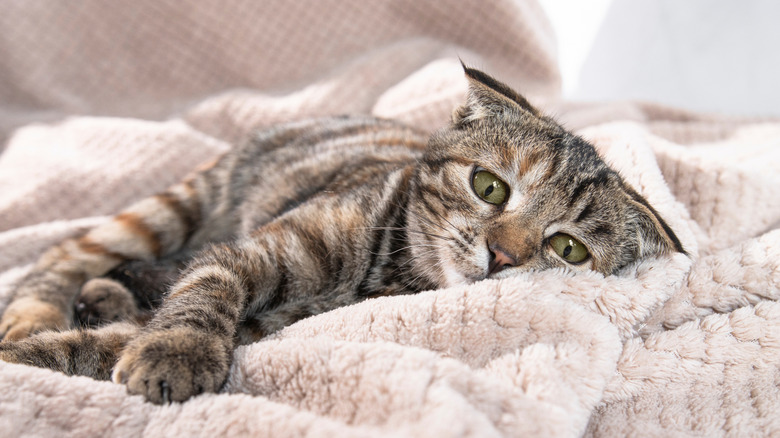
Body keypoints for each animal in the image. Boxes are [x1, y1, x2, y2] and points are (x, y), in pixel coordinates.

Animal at [0, 66, 684, 406]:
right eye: (489, 187)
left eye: (567, 250)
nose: (503, 254)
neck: (389, 272)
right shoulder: (251, 253)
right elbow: (205, 286)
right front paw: (179, 350)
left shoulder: (266, 329)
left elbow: (100, 346)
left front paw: (52, 354)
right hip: (178, 206)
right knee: (72, 251)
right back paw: (36, 311)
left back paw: (100, 299)